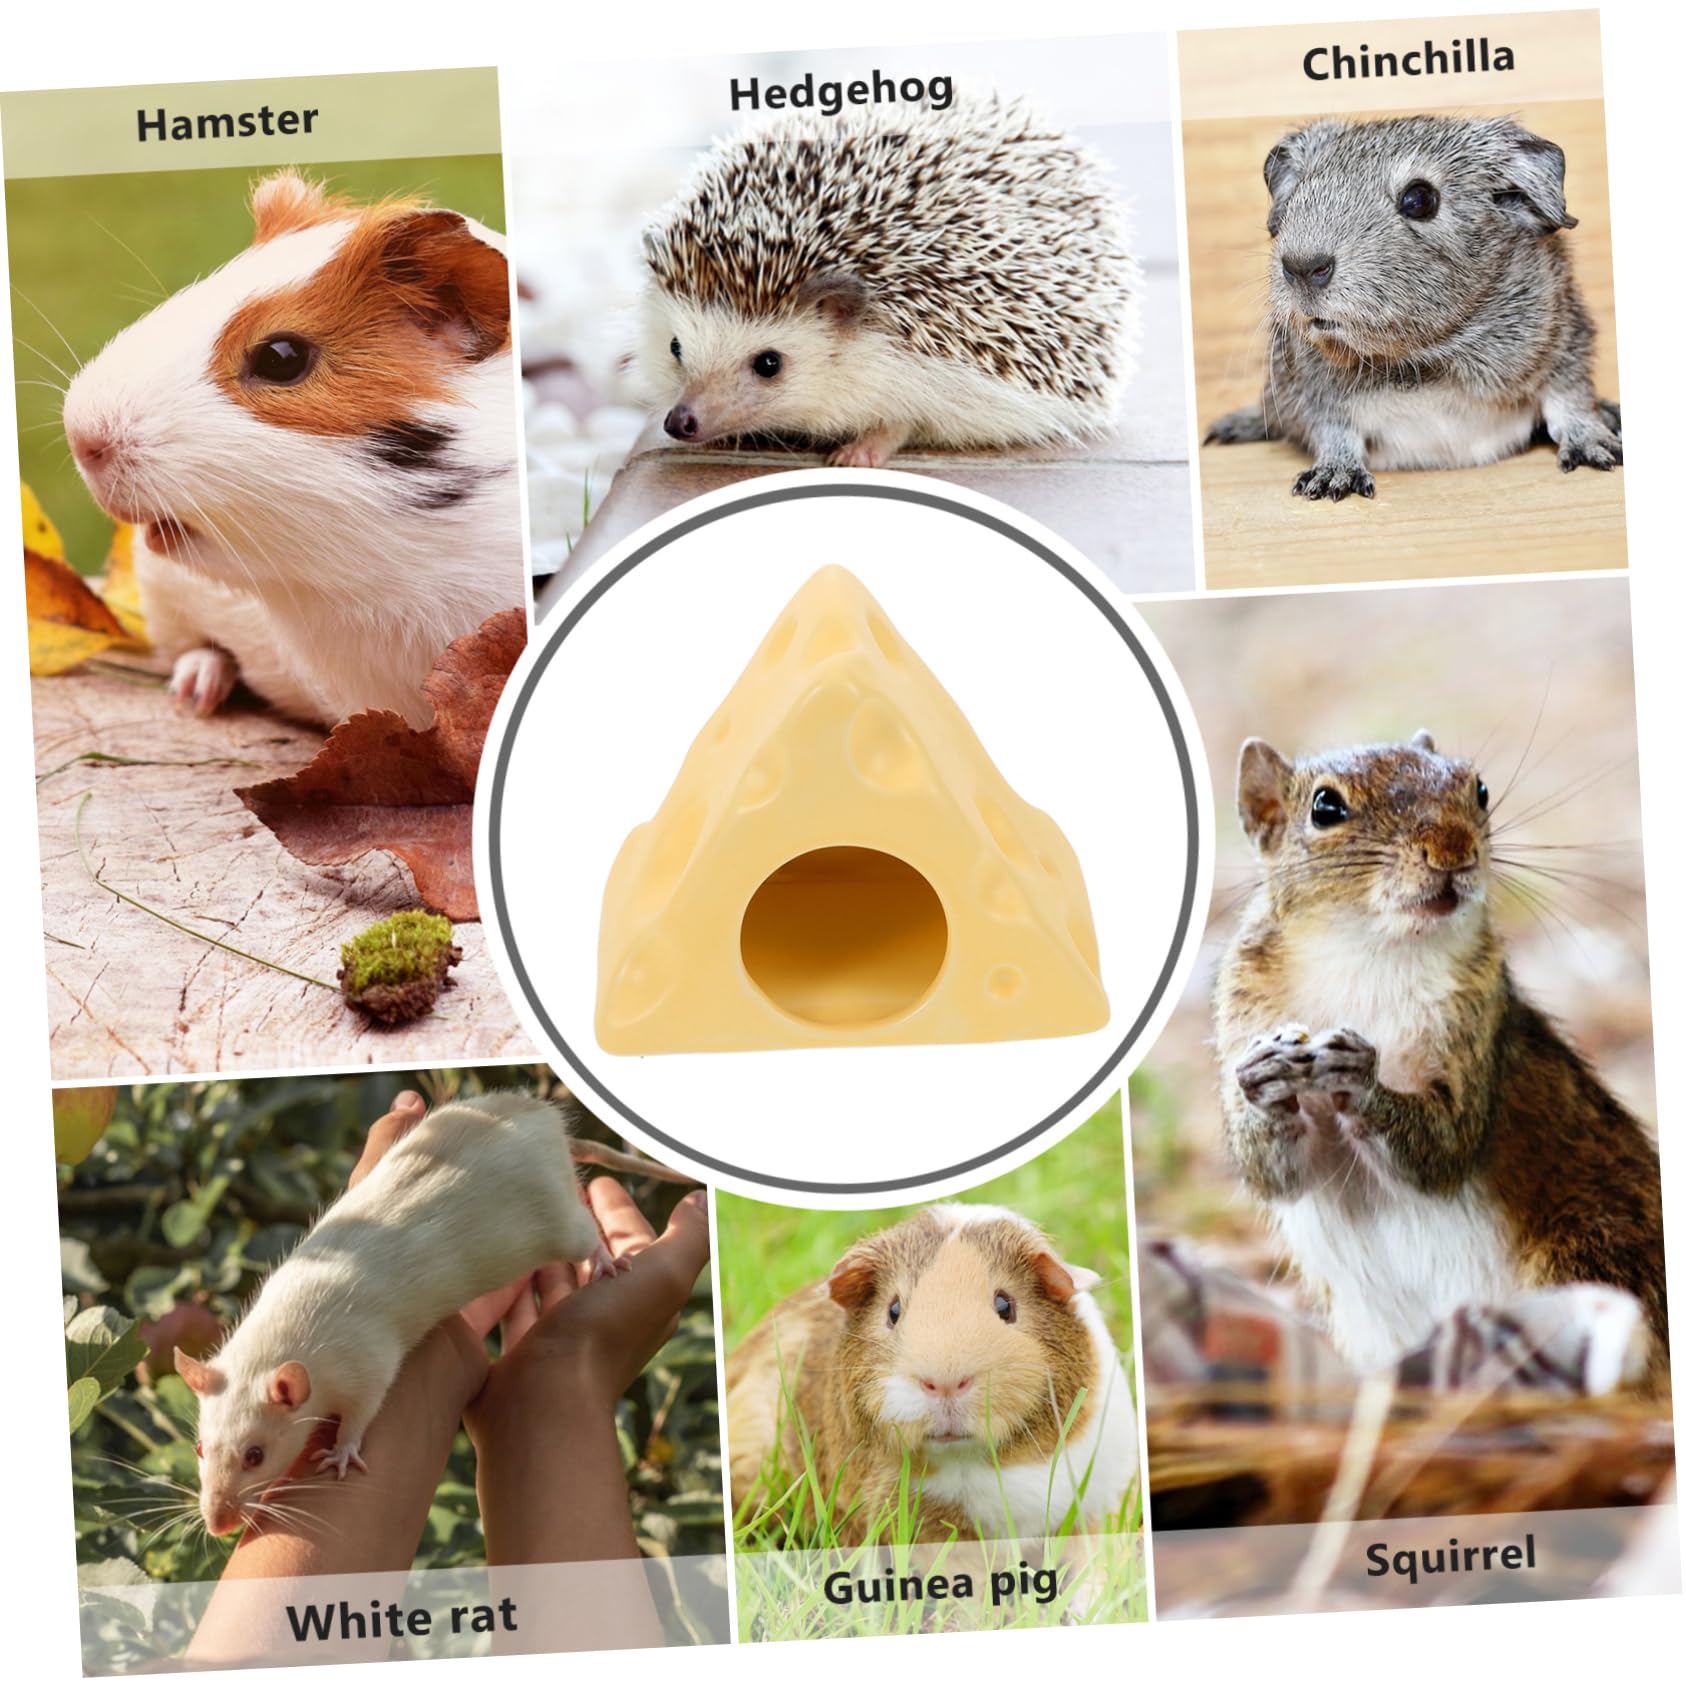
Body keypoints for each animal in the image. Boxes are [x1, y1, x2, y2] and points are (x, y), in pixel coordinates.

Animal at [175, 1094, 607, 1537]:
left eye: (255, 1455)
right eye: (200, 1448)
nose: (217, 1524)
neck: (266, 1347)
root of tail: (547, 1123)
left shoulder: (361, 1360)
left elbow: (366, 1403)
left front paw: (342, 1450)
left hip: (557, 1221)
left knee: (584, 1232)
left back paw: (603, 1261)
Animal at [1205, 116, 1622, 500]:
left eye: (1419, 199)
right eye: (1298, 193)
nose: (1302, 266)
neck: (1421, 362)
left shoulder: (1565, 341)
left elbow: (1569, 402)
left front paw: (1598, 449)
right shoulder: (1308, 392)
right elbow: (1333, 431)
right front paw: (1331, 480)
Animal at [1215, 731, 1666, 1377]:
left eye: (1478, 789)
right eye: (1325, 808)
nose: (1452, 849)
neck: (1372, 951)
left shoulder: (1479, 1021)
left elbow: (1444, 1146)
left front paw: (1361, 1079)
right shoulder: (1244, 1009)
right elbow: (1272, 1172)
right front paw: (1262, 1081)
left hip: (1591, 1252)